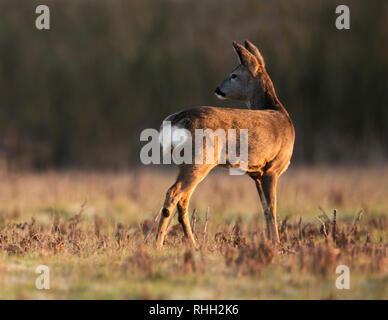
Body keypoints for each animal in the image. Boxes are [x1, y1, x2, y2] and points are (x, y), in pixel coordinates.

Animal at [155, 40, 294, 249]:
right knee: (173, 194)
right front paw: (276, 244)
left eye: (234, 75)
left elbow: (264, 208)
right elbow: (272, 208)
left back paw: (193, 244)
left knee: (183, 200)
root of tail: (174, 120)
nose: (217, 89)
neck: (280, 114)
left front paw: (271, 242)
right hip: (200, 160)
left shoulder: (256, 174)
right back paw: (156, 244)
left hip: (185, 164)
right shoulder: (273, 168)